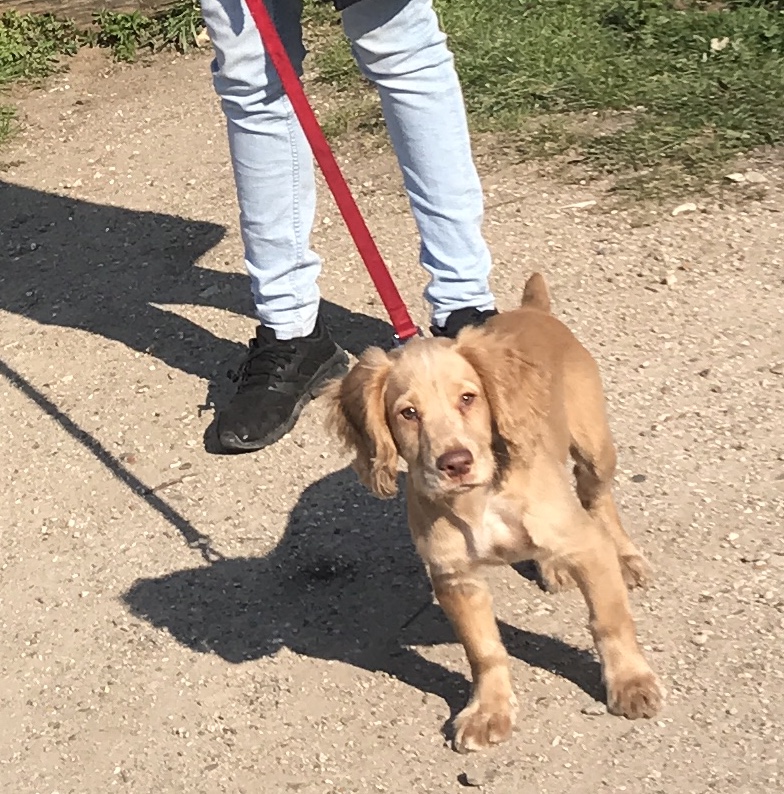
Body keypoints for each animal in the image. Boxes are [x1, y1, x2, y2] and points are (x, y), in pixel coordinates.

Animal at [324, 273, 663, 753]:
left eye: (468, 398)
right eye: (408, 413)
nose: (455, 463)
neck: (480, 500)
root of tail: (534, 310)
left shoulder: (587, 547)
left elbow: (609, 620)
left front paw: (630, 682)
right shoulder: (455, 578)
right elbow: (484, 650)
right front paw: (489, 710)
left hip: (595, 450)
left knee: (597, 498)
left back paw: (627, 557)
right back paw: (552, 567)